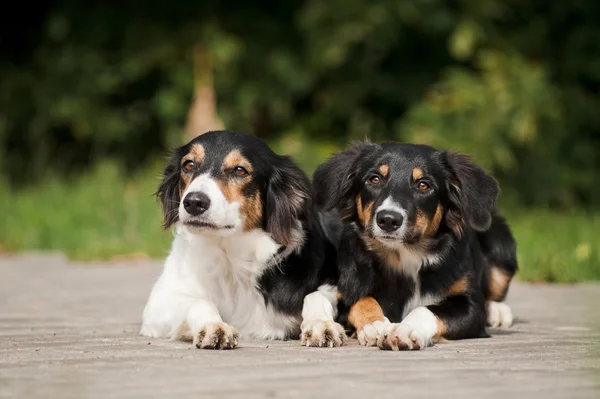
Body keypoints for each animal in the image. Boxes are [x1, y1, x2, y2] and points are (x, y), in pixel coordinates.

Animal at [140, 131, 344, 350]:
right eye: (188, 165)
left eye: (240, 170)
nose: (193, 202)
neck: (232, 260)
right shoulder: (158, 303)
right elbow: (198, 302)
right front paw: (213, 326)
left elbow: (315, 296)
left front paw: (321, 324)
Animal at [312, 141, 516, 350]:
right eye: (374, 179)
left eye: (423, 185)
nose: (388, 220)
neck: (405, 255)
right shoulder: (346, 289)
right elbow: (361, 300)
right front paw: (375, 324)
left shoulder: (471, 307)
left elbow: (428, 310)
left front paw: (404, 329)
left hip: (502, 246)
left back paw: (499, 311)